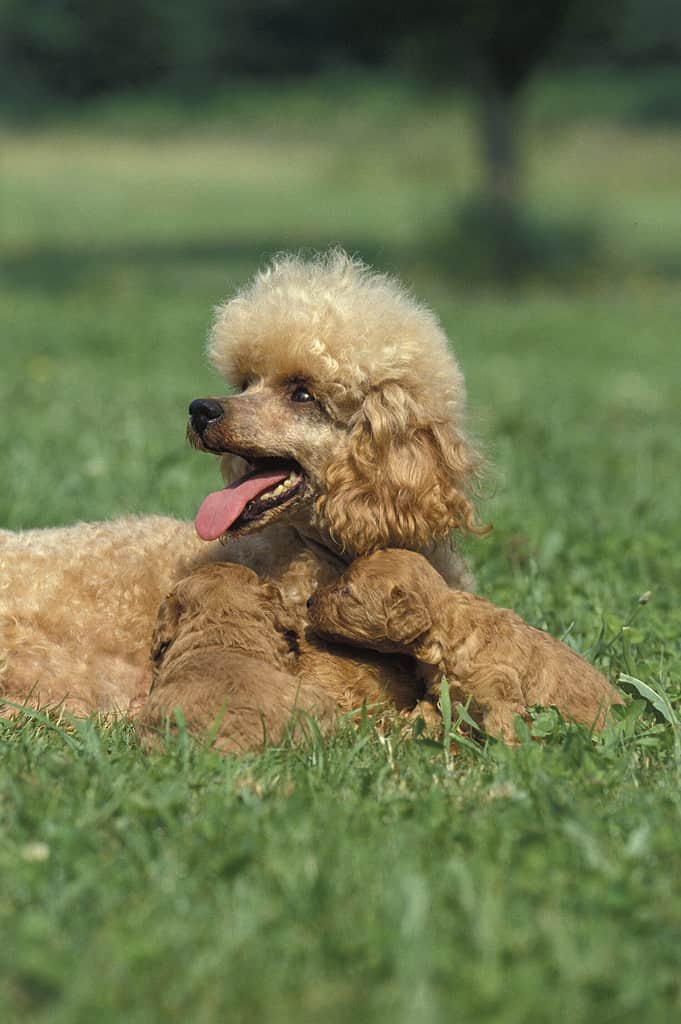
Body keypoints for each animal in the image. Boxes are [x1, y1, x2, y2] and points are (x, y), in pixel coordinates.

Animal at [307, 548, 622, 741]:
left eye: (347, 591)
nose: (309, 601)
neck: (449, 630)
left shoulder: (500, 691)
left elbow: (504, 728)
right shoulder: (442, 695)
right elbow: (427, 712)